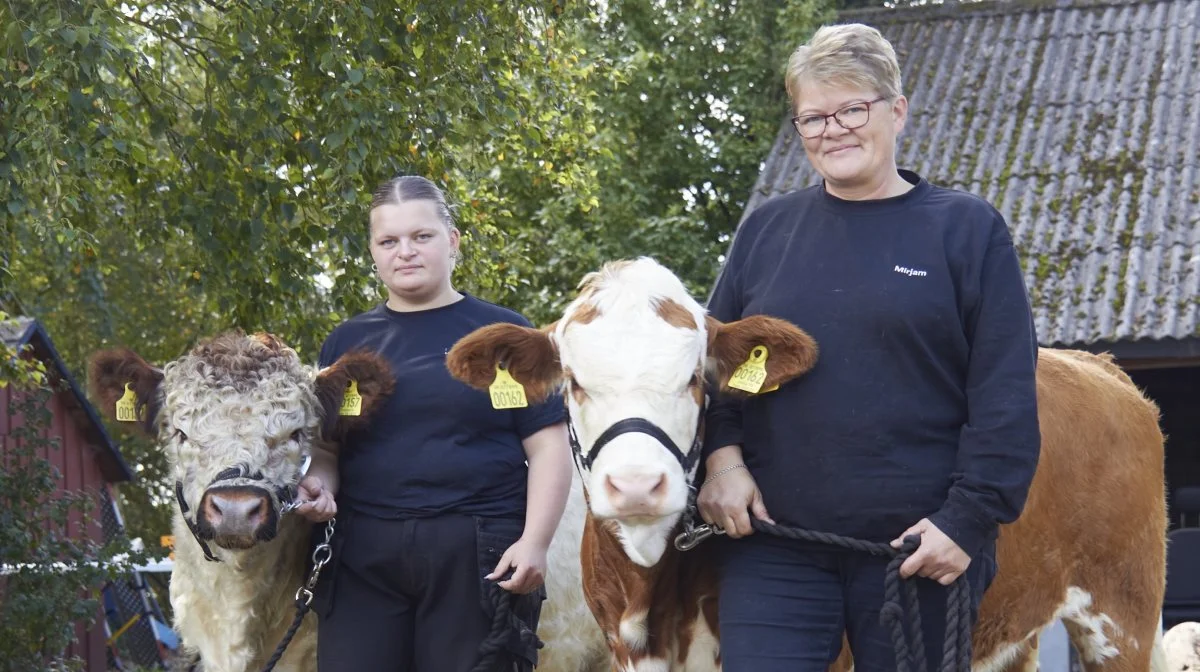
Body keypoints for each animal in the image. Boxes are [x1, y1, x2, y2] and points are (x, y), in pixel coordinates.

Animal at [446, 254, 1166, 667]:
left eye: (696, 379)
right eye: (573, 383)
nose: (637, 485)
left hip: (1121, 614)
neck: (653, 604)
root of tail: (1100, 367)